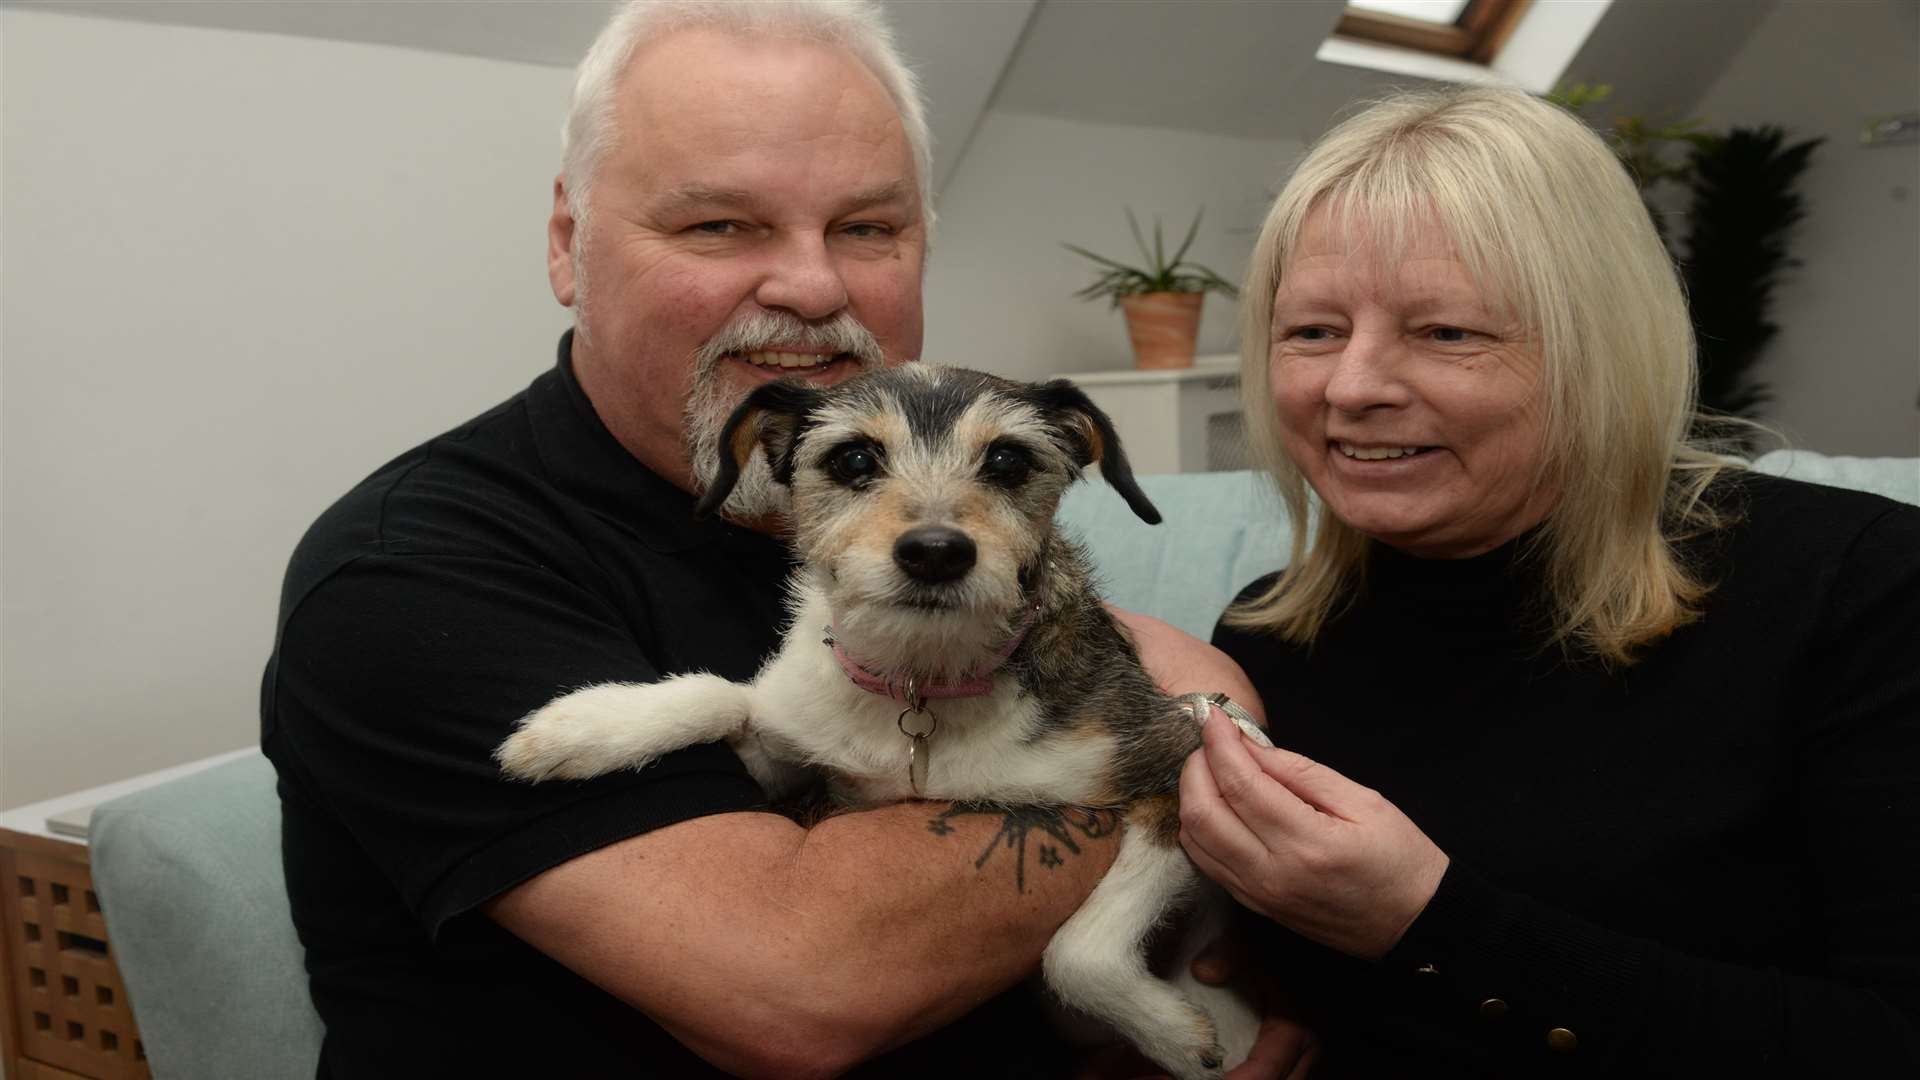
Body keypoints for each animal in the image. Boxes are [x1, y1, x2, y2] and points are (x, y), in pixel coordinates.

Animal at [503, 363, 1267, 1076]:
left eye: (1008, 460)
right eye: (853, 459)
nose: (935, 552)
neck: (921, 680)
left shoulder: (1177, 758)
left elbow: (1079, 952)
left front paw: (1177, 1037)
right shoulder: (805, 761)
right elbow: (727, 696)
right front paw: (581, 728)